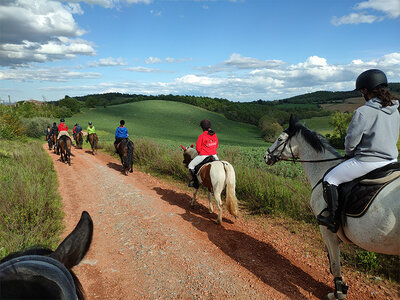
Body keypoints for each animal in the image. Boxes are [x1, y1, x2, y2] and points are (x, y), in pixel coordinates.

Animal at [262, 114, 400, 298]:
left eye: (280, 139)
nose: (266, 156)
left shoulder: (327, 229)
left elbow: (335, 262)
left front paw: (339, 291)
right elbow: (333, 259)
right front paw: (341, 287)